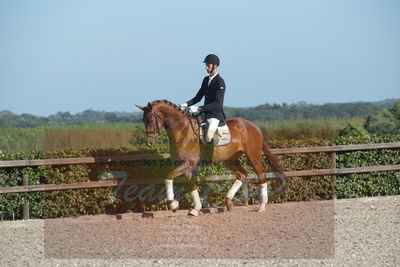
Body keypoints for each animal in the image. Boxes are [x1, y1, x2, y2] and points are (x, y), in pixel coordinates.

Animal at [136, 99, 286, 217]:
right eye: (143, 120)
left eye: (150, 120)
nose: (149, 142)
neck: (183, 131)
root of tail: (254, 126)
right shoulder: (186, 166)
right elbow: (191, 185)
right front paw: (195, 209)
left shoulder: (188, 164)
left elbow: (168, 177)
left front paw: (173, 205)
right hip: (230, 159)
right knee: (242, 174)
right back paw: (228, 202)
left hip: (252, 157)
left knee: (261, 174)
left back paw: (262, 206)